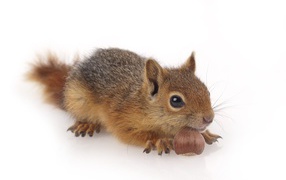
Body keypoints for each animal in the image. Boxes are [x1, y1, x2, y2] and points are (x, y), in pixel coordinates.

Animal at [27, 47, 221, 155]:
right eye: (175, 100)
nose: (209, 118)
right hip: (78, 100)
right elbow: (131, 134)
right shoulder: (121, 118)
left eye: (206, 90)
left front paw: (206, 134)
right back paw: (87, 124)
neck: (143, 103)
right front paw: (159, 139)